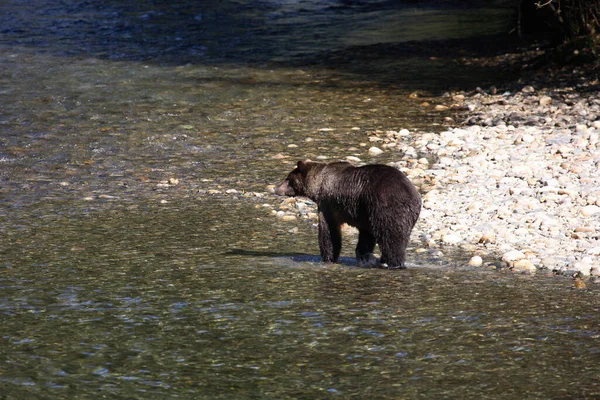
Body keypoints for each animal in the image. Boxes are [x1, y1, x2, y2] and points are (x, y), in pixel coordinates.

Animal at [274, 159, 420, 268]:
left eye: (288, 178)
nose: (276, 188)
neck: (319, 185)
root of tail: (412, 195)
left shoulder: (328, 205)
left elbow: (329, 232)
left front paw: (328, 257)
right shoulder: (365, 212)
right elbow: (366, 235)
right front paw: (365, 256)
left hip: (387, 207)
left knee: (391, 237)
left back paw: (394, 262)